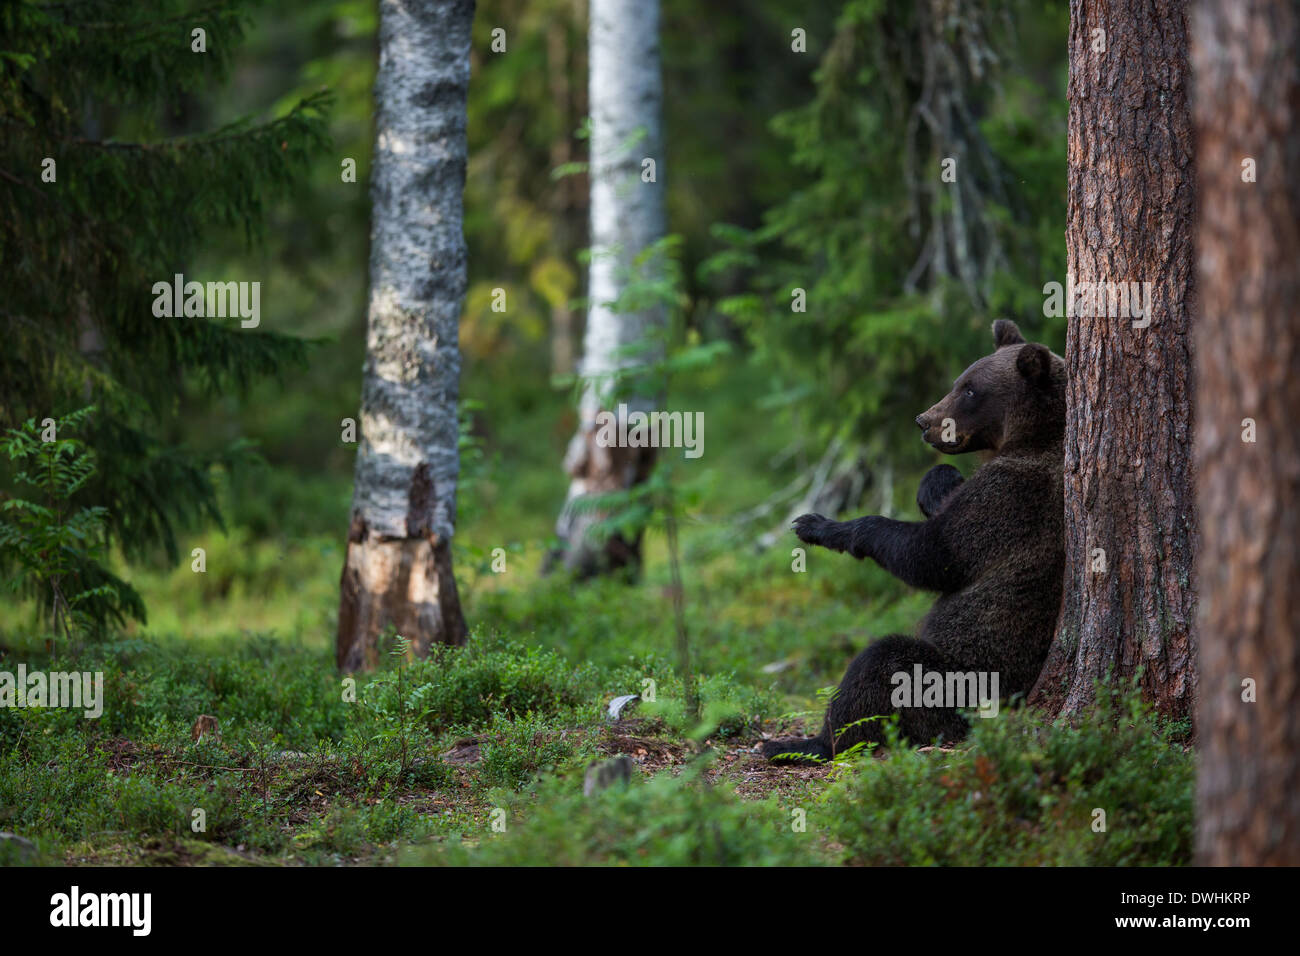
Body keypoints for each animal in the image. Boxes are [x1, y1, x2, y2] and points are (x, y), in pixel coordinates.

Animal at [762, 319, 1065, 762]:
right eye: (959, 380)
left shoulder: (1011, 498)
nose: (924, 421)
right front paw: (936, 483)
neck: (1032, 437)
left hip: (958, 682)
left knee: (883, 661)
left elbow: (933, 555)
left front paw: (818, 525)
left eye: (970, 390)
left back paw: (804, 742)